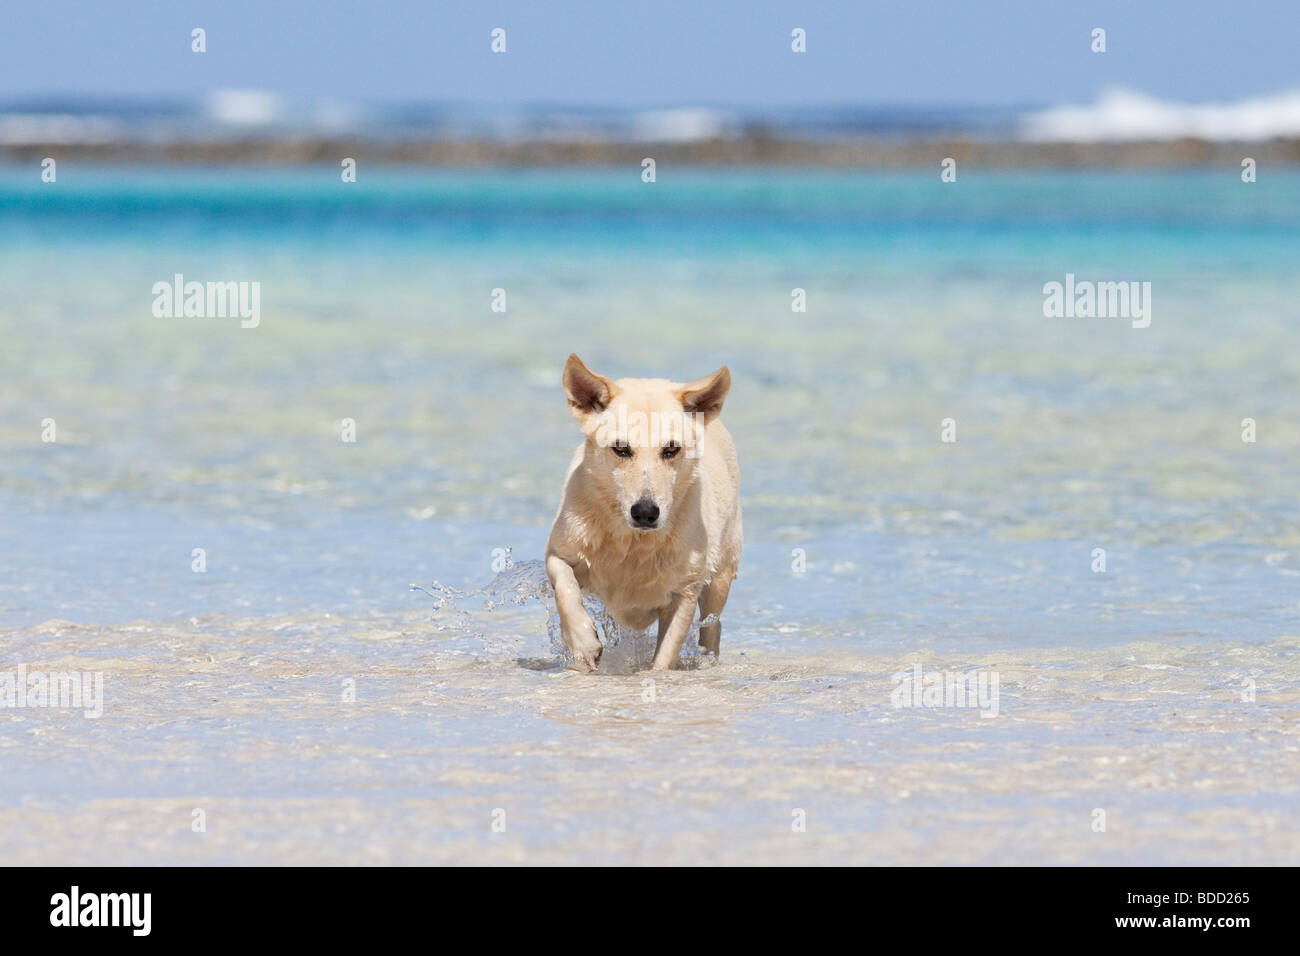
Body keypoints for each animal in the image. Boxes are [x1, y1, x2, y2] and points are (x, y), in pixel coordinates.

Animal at [543, 353, 743, 671]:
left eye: (671, 449)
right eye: (621, 448)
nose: (646, 512)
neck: (633, 543)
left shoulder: (686, 590)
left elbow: (665, 655)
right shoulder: (559, 551)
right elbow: (565, 590)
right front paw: (584, 645)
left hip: (720, 576)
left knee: (712, 627)